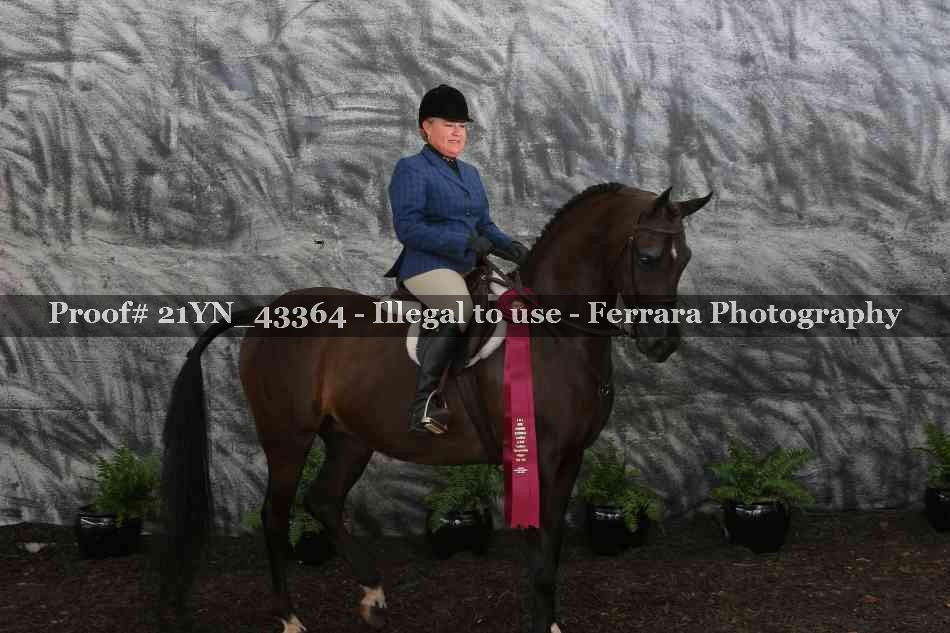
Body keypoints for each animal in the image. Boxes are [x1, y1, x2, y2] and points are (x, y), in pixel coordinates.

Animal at [157, 182, 713, 633]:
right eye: (647, 256)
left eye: (683, 259)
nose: (662, 344)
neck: (556, 336)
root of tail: (265, 312)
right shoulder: (530, 458)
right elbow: (538, 549)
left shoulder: (569, 459)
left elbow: (553, 546)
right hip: (286, 439)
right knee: (276, 516)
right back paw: (291, 619)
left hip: (349, 438)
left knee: (323, 501)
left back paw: (374, 598)